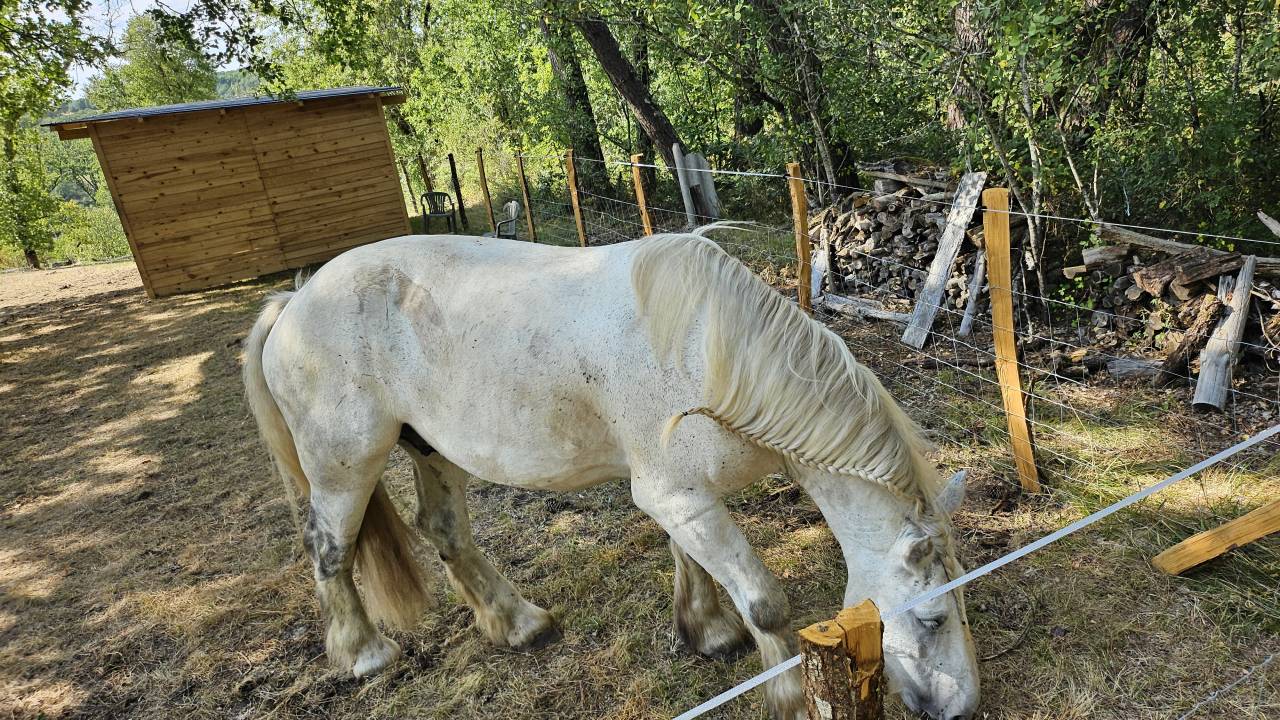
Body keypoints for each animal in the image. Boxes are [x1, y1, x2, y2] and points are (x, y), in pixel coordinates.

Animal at [242, 231, 980, 720]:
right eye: (934, 618)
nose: (960, 707)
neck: (713, 355)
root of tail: (294, 300)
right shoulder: (677, 496)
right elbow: (766, 602)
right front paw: (791, 696)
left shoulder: (682, 498)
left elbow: (692, 564)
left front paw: (708, 634)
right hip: (345, 467)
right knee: (328, 549)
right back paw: (364, 655)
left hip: (431, 450)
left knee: (444, 529)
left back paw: (520, 624)